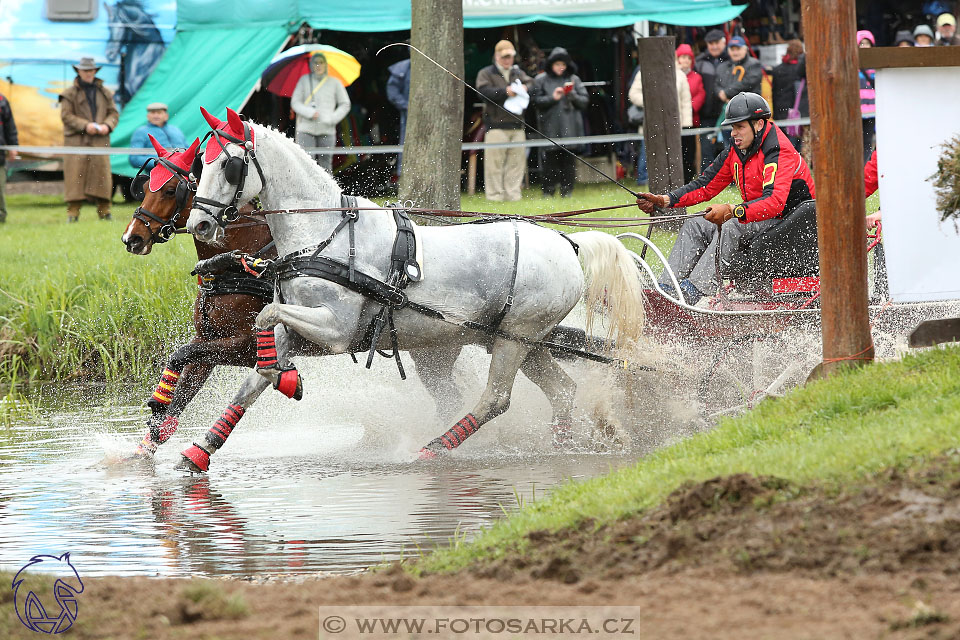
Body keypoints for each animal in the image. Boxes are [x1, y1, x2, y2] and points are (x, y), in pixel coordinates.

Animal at [122, 136, 276, 456]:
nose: (132, 238)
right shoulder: (207, 342)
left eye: (171, 190)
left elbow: (180, 355)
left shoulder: (248, 346)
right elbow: (172, 410)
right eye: (144, 187)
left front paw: (157, 402)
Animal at [180, 107, 644, 472]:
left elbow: (264, 317)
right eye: (199, 165)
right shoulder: (300, 325)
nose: (199, 224)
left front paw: (286, 378)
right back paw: (561, 446)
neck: (325, 234)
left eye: (229, 165)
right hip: (521, 340)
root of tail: (568, 242)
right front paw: (202, 449)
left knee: (495, 399)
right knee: (561, 390)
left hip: (517, 337)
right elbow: (254, 374)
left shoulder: (336, 330)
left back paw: (434, 448)